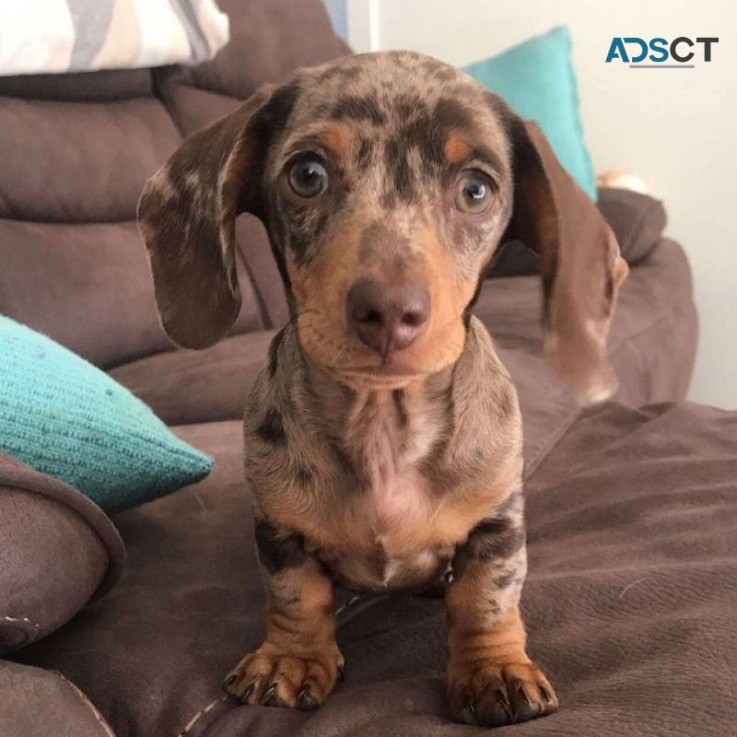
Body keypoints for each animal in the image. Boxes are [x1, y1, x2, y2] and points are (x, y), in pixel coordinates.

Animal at [138, 50, 628, 724]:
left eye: (476, 189)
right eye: (308, 175)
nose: (390, 311)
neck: (382, 426)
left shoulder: (497, 524)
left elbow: (486, 598)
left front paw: (494, 667)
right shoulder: (278, 530)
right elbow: (296, 595)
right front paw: (291, 658)